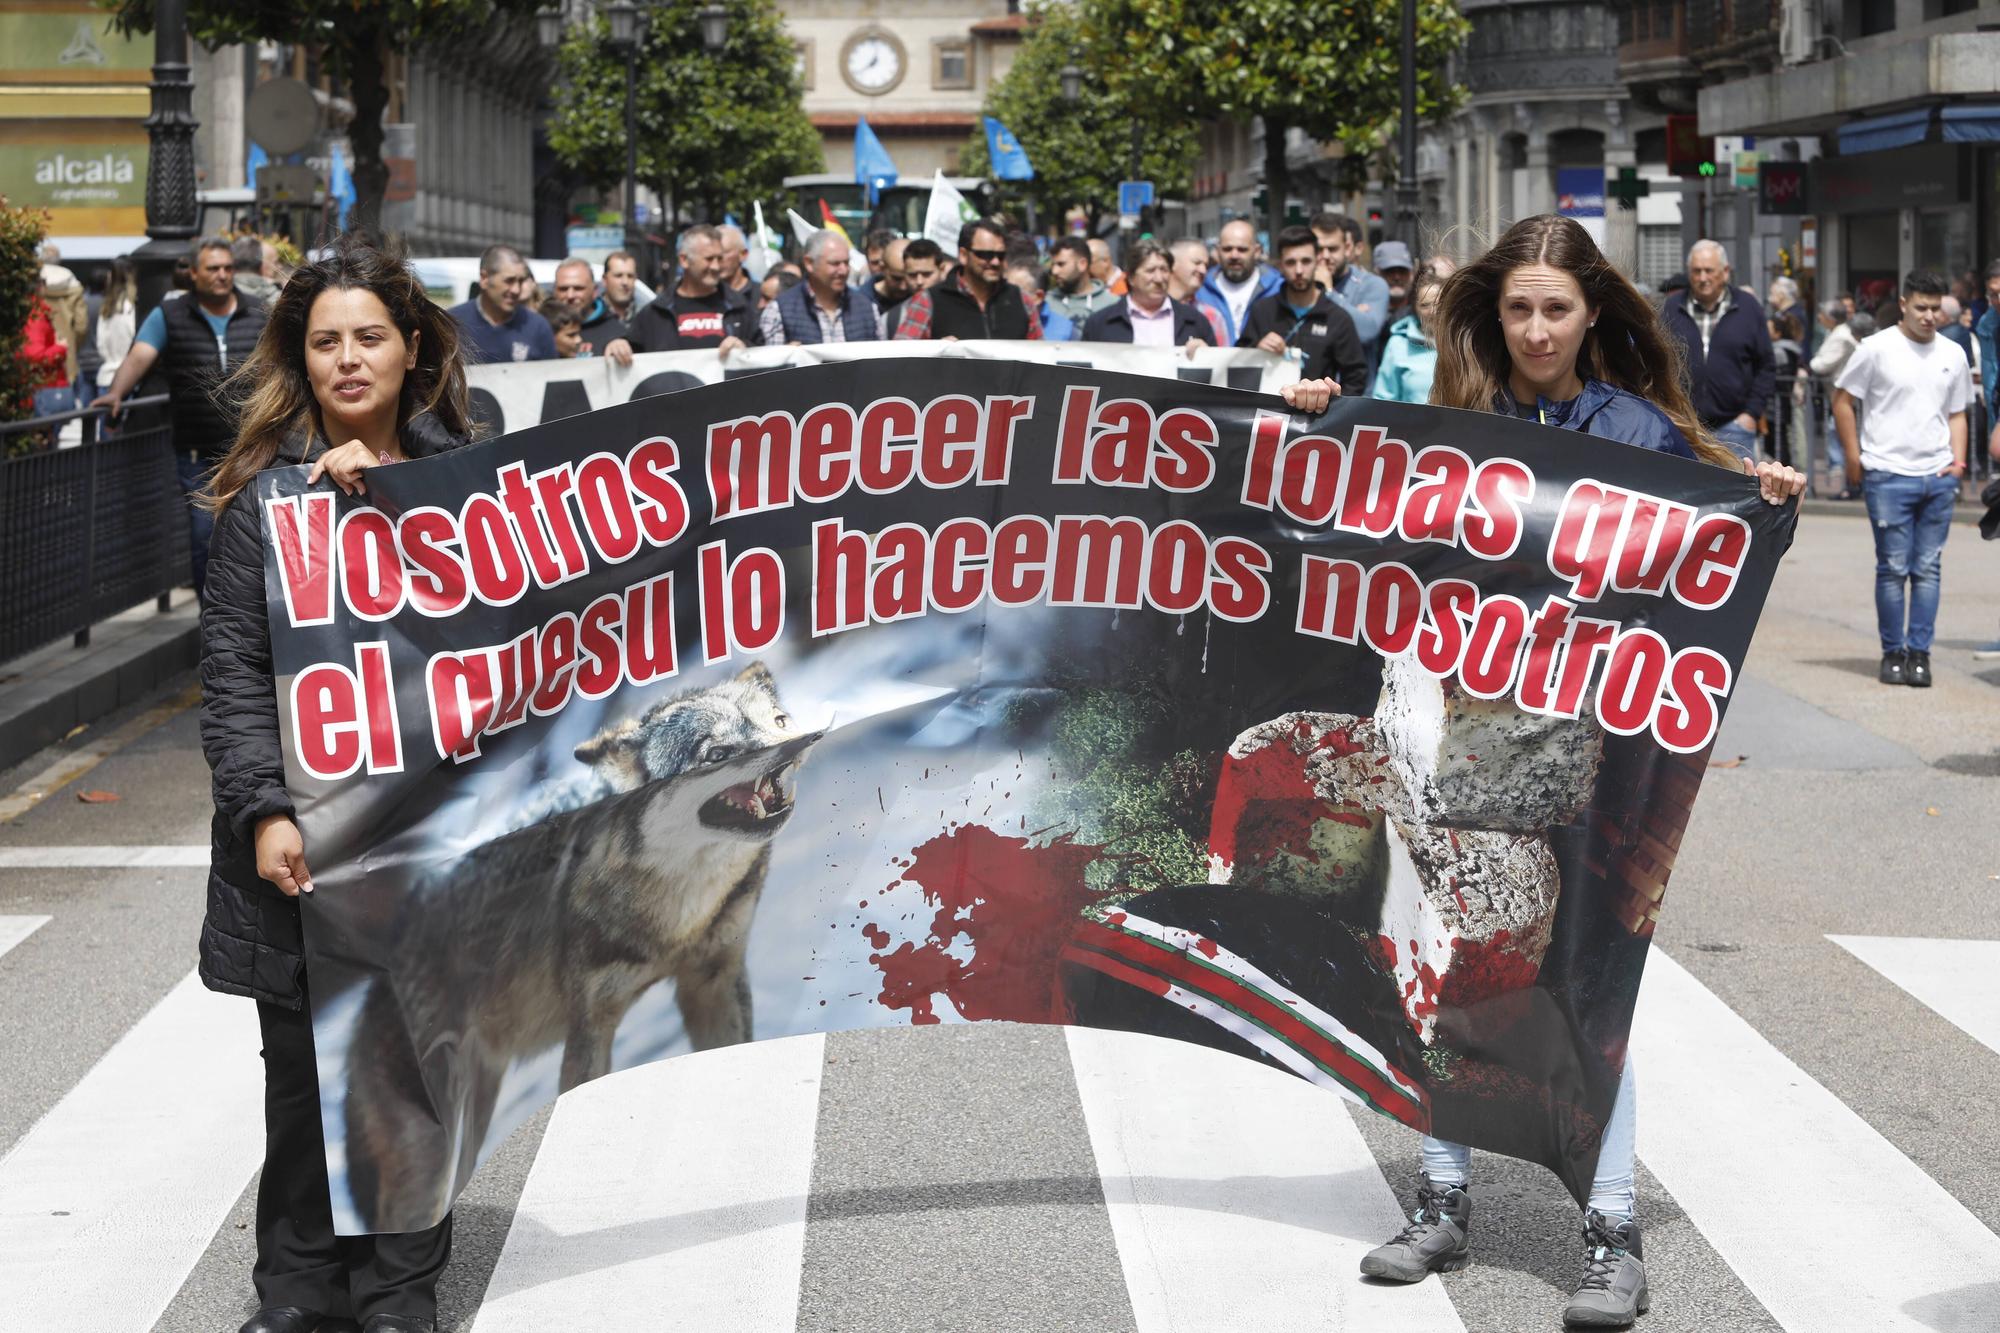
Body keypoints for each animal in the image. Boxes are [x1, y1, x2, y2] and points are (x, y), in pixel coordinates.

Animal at [346, 660, 820, 1232]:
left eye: (778, 721)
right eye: (718, 754)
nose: (803, 742)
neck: (674, 919)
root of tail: (376, 984)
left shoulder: (712, 983)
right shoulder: (590, 1024)